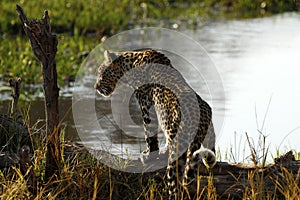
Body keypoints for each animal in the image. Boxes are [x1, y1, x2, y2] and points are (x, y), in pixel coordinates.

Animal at [94, 48, 216, 200]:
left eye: (101, 73)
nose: (96, 87)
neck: (130, 63)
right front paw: (157, 152)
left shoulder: (146, 104)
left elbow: (149, 133)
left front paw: (148, 154)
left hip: (177, 149)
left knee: (174, 185)